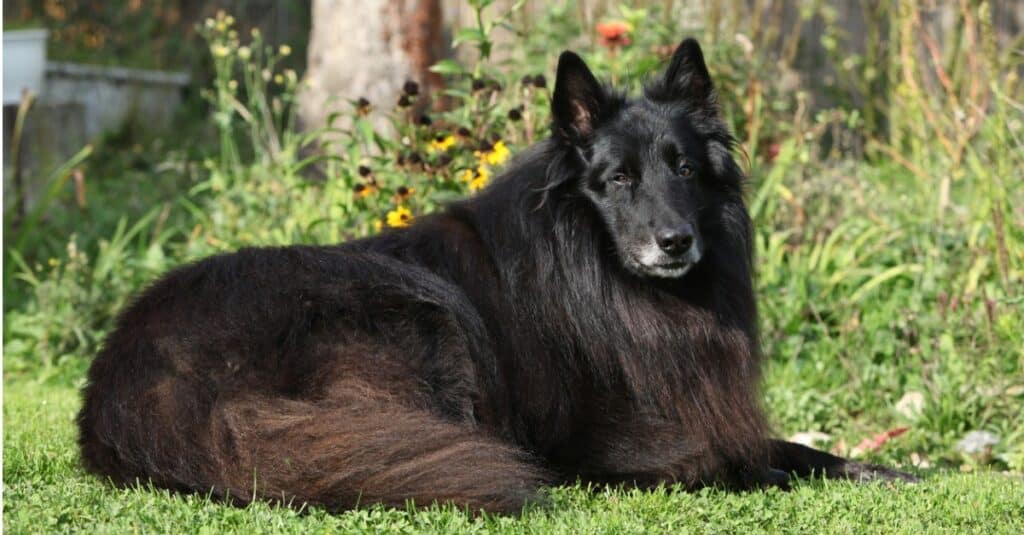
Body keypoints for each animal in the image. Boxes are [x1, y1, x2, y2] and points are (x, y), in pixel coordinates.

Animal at [77, 38, 913, 512]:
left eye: (683, 168)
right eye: (617, 179)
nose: (675, 241)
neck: (601, 274)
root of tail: (129, 376)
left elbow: (796, 447)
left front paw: (888, 468)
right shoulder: (607, 437)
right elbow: (741, 461)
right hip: (419, 312)